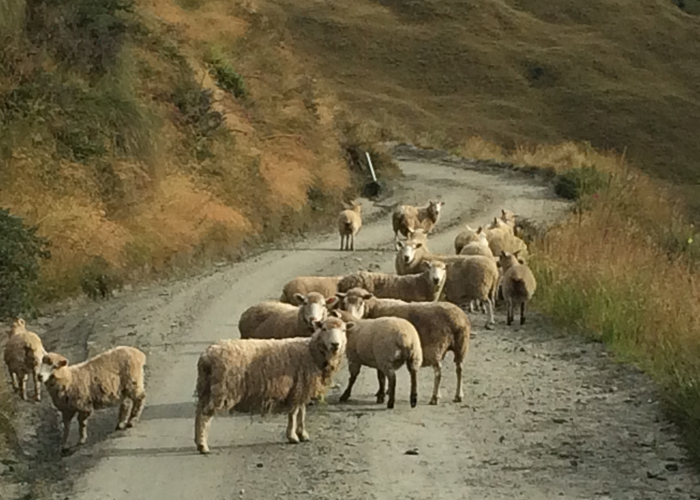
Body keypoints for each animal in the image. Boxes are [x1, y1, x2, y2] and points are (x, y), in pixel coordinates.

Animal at [194, 318, 348, 456]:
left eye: (344, 330)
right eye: (324, 329)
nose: (335, 344)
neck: (311, 352)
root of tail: (207, 355)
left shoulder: (301, 387)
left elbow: (301, 412)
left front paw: (302, 433)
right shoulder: (297, 387)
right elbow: (294, 413)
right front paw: (292, 436)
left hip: (205, 386)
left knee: (199, 411)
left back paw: (198, 441)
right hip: (222, 388)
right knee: (205, 415)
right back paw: (203, 445)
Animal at [340, 290, 470, 406]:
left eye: (361, 303)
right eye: (344, 303)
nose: (351, 316)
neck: (374, 308)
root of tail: (457, 319)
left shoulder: (379, 350)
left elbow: (381, 375)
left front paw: (382, 393)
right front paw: (386, 391)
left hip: (437, 346)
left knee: (438, 371)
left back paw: (434, 397)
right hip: (461, 345)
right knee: (459, 368)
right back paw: (458, 395)